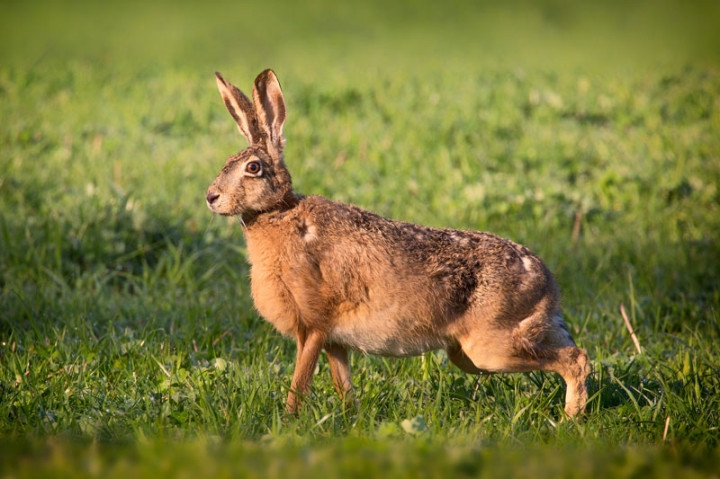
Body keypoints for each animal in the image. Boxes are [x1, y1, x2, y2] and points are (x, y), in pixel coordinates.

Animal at [206, 69, 590, 417]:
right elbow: (343, 383)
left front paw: (288, 420)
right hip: (475, 352)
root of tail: (546, 281)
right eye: (226, 163)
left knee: (577, 359)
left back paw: (570, 419)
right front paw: (350, 418)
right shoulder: (333, 339)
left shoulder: (312, 327)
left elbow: (299, 383)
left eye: (253, 168)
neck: (280, 214)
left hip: (490, 347)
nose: (211, 197)